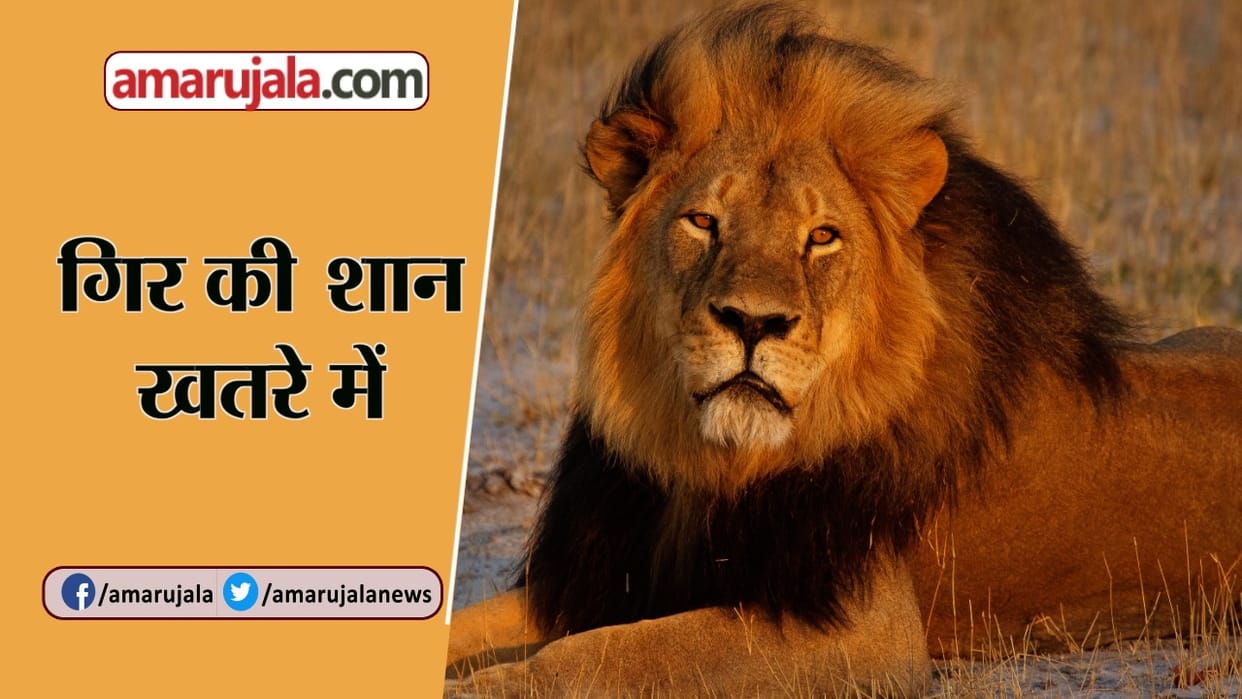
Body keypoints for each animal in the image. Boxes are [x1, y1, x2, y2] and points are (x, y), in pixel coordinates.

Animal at [446, 3, 1242, 695]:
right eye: (703, 221)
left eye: (822, 236)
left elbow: (611, 655)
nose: (752, 322)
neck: (709, 465)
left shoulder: (868, 631)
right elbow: (479, 623)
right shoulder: (601, 575)